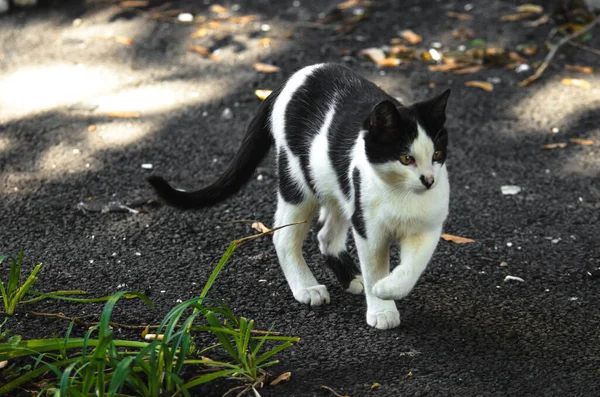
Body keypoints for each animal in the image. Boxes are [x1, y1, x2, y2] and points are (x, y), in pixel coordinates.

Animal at [149, 63, 450, 330]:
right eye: (406, 158)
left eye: (436, 154)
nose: (428, 180)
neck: (403, 195)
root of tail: (295, 77)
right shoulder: (368, 228)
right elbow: (375, 265)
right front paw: (382, 307)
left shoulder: (428, 228)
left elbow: (414, 266)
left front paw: (388, 288)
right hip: (298, 181)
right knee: (283, 237)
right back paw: (307, 287)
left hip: (334, 183)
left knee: (326, 234)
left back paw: (351, 277)